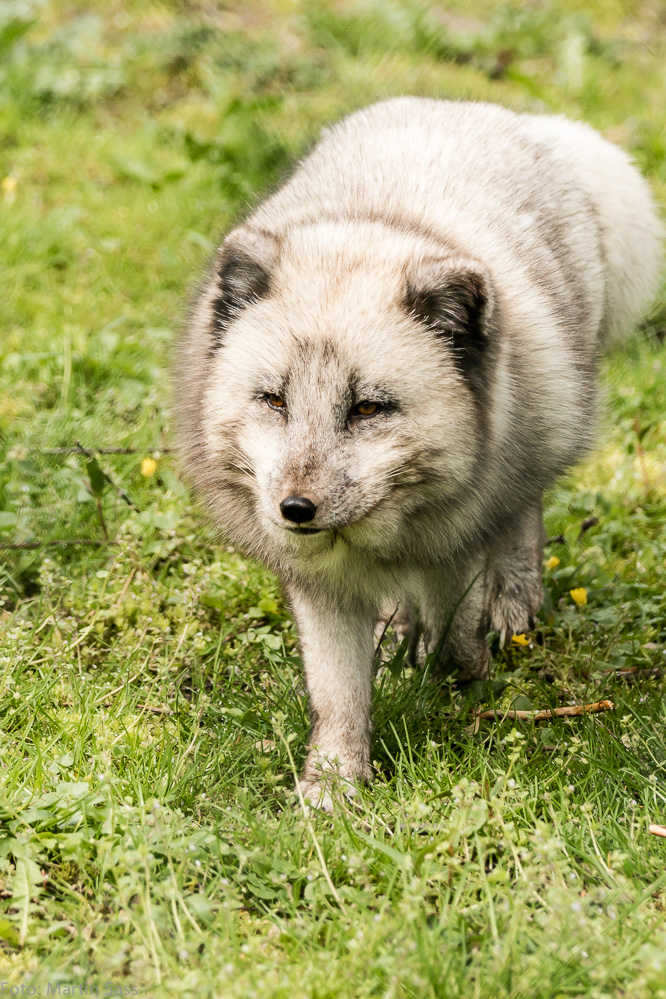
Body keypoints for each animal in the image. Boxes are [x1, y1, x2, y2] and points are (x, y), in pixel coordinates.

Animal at [174, 97, 660, 808]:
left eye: (369, 408)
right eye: (274, 400)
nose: (295, 509)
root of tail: (487, 112)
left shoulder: (453, 543)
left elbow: (457, 630)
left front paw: (461, 685)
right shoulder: (321, 586)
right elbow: (337, 693)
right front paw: (333, 783)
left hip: (543, 431)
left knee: (521, 514)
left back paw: (512, 604)